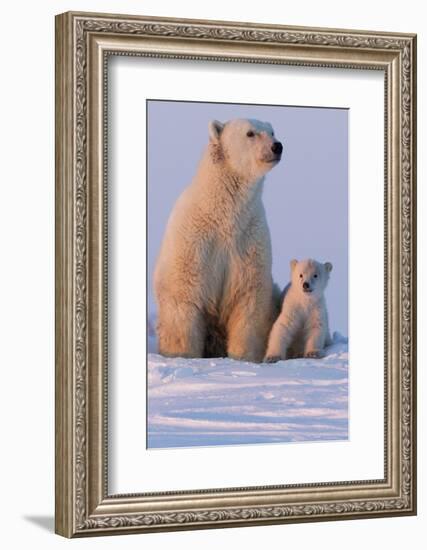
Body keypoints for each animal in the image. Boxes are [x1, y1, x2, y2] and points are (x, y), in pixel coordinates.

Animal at [154, 118, 284, 364]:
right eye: (250, 133)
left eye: (272, 132)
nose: (277, 146)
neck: (223, 215)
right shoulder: (194, 241)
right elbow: (183, 295)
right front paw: (182, 355)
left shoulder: (249, 239)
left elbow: (249, 299)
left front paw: (243, 358)